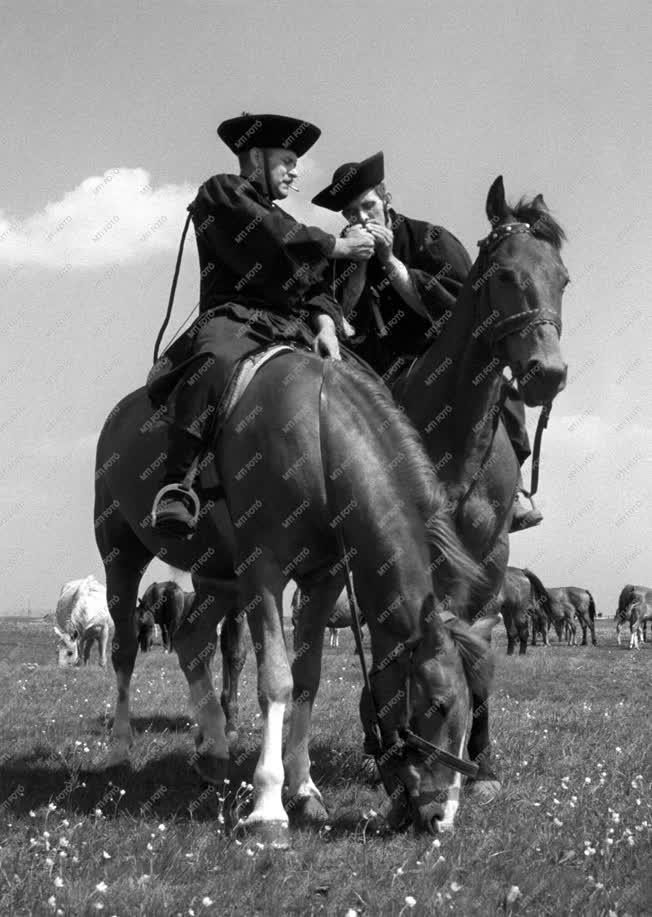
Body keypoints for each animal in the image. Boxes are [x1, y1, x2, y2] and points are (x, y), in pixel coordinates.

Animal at [93, 348, 494, 836]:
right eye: (438, 704)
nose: (442, 818)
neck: (320, 447)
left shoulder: (323, 580)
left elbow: (306, 680)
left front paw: (303, 789)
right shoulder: (262, 573)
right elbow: (276, 681)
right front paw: (268, 806)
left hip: (217, 579)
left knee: (191, 642)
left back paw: (214, 752)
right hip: (121, 555)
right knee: (126, 651)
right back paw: (120, 750)